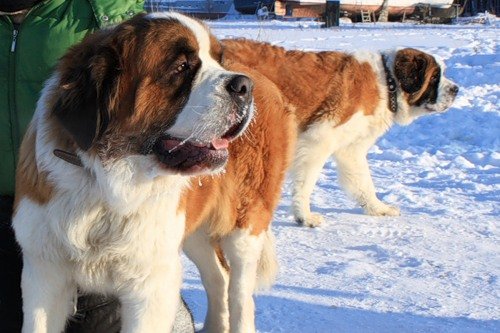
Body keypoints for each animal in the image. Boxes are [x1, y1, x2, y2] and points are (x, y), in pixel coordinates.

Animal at [225, 38, 458, 226]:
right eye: (435, 76)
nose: (456, 89)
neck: (387, 82)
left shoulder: (351, 148)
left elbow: (363, 181)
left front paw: (377, 208)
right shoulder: (318, 140)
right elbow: (305, 183)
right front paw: (304, 216)